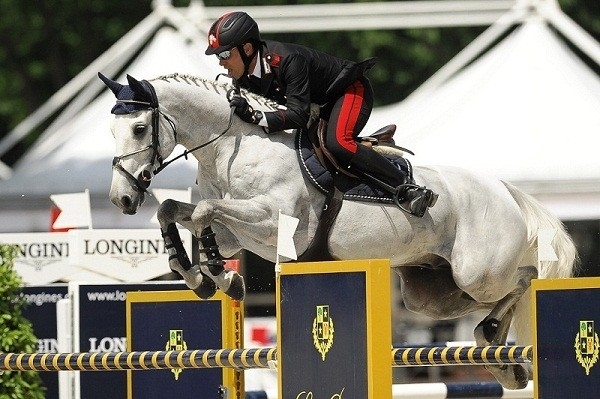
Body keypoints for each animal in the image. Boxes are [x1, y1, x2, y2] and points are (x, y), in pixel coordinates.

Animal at [98, 72, 576, 390]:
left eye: (138, 128)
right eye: (112, 130)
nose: (122, 199)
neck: (233, 146)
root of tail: (505, 190)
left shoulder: (272, 221)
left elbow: (202, 212)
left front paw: (221, 276)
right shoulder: (239, 234)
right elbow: (177, 211)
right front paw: (199, 275)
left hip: (478, 272)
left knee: (525, 278)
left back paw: (496, 341)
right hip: (431, 293)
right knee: (492, 299)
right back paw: (503, 359)